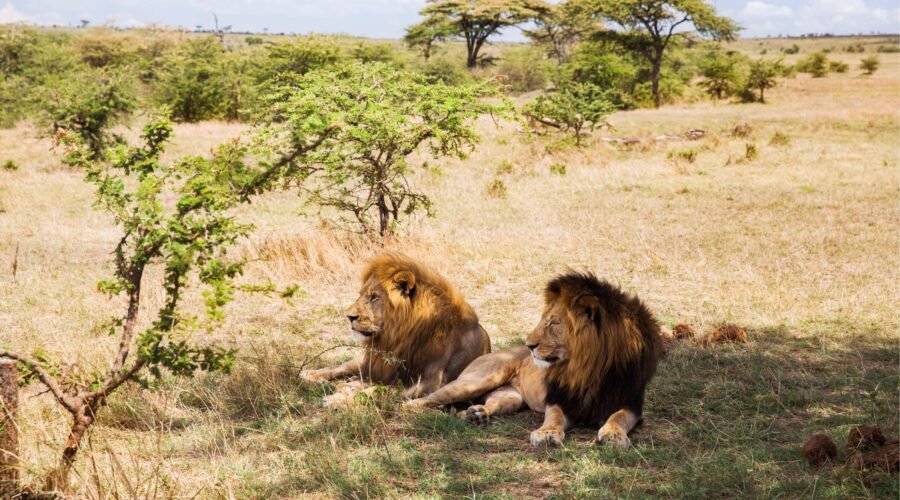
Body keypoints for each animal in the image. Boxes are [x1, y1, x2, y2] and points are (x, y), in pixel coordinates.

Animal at [302, 252, 492, 406]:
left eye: (374, 297)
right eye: (361, 295)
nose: (349, 316)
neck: (400, 336)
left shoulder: (429, 384)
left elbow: (378, 391)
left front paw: (337, 399)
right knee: (344, 366)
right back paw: (309, 374)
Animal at [406, 271, 662, 449]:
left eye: (553, 324)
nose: (529, 346)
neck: (589, 368)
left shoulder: (631, 403)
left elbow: (618, 417)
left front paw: (613, 434)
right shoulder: (559, 399)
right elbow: (555, 417)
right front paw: (547, 433)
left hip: (510, 397)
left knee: (485, 405)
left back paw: (476, 415)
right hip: (477, 380)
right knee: (421, 400)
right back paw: (421, 411)